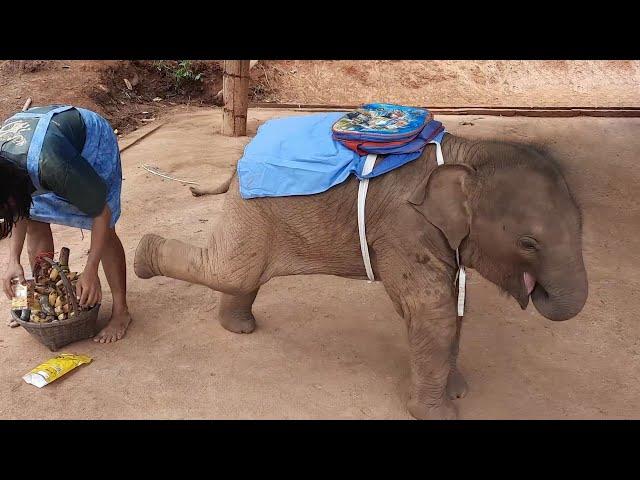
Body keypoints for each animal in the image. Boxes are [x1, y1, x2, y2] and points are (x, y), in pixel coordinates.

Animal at [134, 133, 584, 418]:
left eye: (582, 224)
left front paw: (457, 389)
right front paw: (441, 413)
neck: (465, 154)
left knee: (242, 272)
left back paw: (239, 327)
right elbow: (431, 310)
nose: (539, 292)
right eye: (529, 243)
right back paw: (142, 254)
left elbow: (454, 306)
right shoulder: (405, 228)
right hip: (253, 201)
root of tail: (240, 156)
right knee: (231, 270)